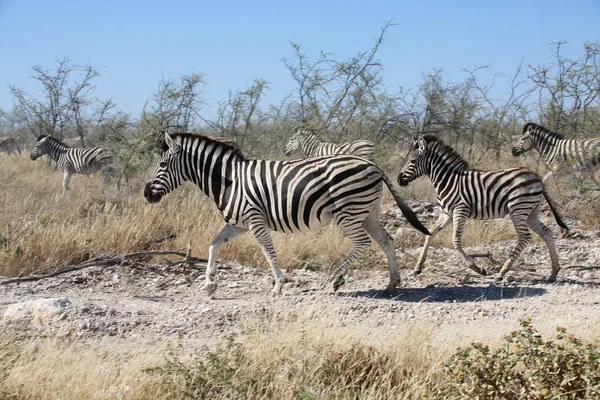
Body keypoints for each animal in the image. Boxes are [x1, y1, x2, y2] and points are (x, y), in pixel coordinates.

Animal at [143, 133, 428, 296]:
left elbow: (268, 252)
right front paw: (210, 285)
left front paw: (279, 285)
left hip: (348, 212)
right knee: (386, 241)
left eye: (162, 164)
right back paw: (392, 284)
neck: (229, 181)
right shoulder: (237, 224)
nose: (146, 194)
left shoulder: (255, 220)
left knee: (363, 242)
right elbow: (213, 246)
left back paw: (335, 279)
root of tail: (371, 164)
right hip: (368, 212)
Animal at [398, 134, 568, 282]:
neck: (448, 181)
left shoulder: (460, 211)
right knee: (546, 233)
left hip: (518, 209)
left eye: (412, 161)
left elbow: (455, 240)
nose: (399, 180)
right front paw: (418, 267)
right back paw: (554, 272)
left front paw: (476, 268)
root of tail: (536, 176)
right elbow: (430, 234)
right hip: (531, 212)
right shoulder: (447, 214)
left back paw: (502, 272)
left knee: (525, 237)